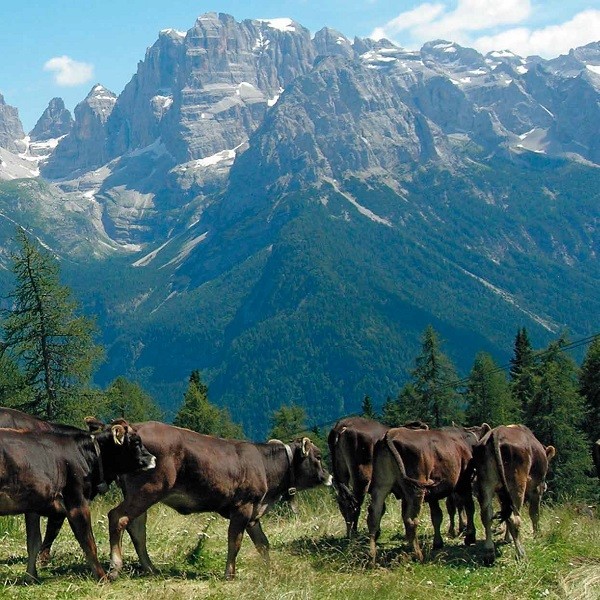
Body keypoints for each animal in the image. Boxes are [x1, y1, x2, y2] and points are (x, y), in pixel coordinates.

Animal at [0, 414, 157, 580]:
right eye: (136, 442)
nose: (154, 459)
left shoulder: (33, 506)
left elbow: (34, 543)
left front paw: (31, 577)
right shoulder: (76, 502)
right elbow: (89, 543)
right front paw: (102, 578)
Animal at [106, 422, 332, 580]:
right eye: (319, 456)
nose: (330, 477)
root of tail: (135, 428)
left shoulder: (254, 512)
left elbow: (263, 544)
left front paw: (270, 570)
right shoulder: (243, 507)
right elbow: (235, 542)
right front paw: (229, 574)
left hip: (139, 493)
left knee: (136, 527)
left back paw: (150, 568)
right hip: (150, 489)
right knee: (117, 517)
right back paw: (115, 568)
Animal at [366, 424, 488, 564]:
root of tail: (390, 434)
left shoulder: (433, 495)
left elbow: (436, 516)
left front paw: (437, 542)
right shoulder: (464, 482)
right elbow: (469, 508)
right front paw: (470, 537)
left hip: (380, 486)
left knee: (374, 516)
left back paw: (372, 557)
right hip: (417, 488)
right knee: (411, 520)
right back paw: (418, 555)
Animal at [474, 424, 556, 564]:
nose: (546, 486)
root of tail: (496, 433)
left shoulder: (502, 493)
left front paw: (508, 538)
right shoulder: (537, 488)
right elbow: (534, 513)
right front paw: (537, 535)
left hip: (485, 483)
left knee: (486, 515)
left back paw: (489, 552)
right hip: (517, 484)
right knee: (514, 518)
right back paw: (521, 553)